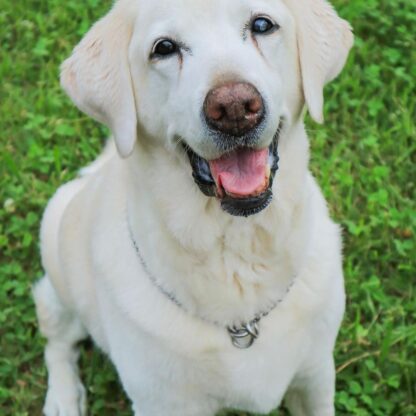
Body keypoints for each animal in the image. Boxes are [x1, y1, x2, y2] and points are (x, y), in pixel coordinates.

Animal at [35, 0, 352, 414]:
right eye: (164, 48)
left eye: (262, 25)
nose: (234, 108)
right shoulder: (162, 403)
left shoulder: (315, 376)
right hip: (55, 245)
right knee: (56, 335)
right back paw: (63, 396)